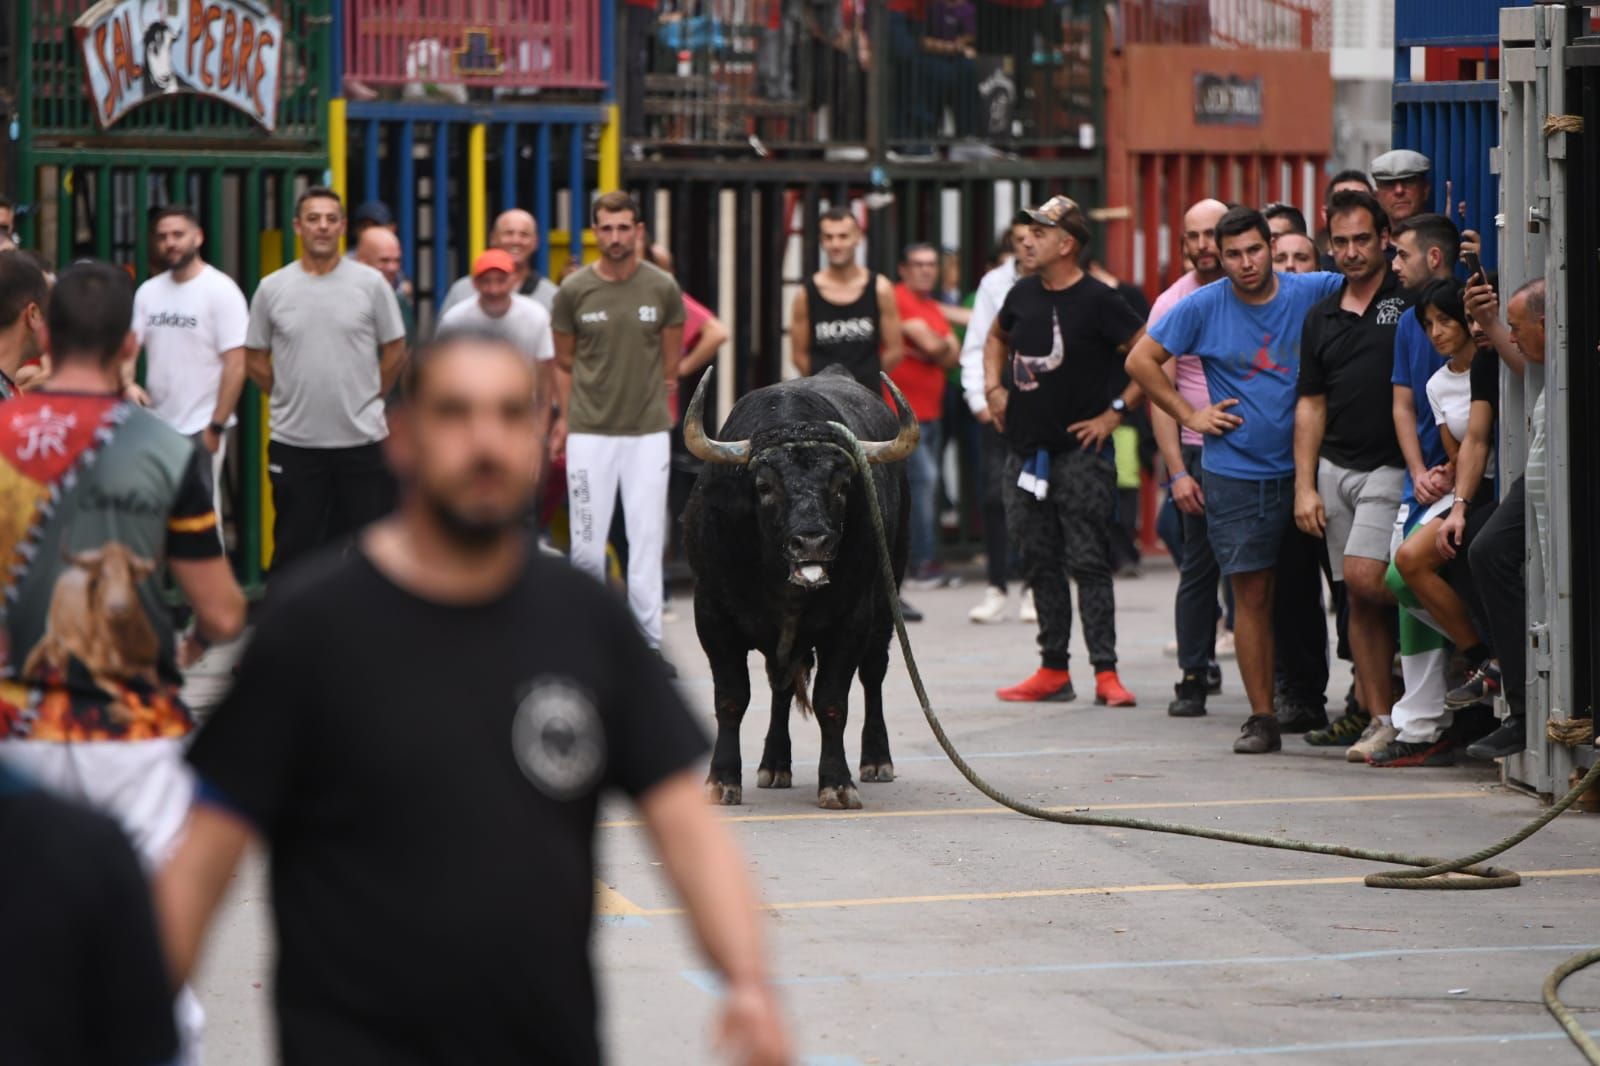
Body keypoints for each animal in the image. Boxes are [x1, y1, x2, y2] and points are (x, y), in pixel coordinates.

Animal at [681, 364, 921, 806]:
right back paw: (775, 764)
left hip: (886, 599)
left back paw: (876, 759)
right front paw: (722, 780)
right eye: (764, 486)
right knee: (780, 686)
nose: (812, 542)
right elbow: (731, 698)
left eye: (842, 486)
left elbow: (832, 702)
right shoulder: (711, 615)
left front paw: (837, 782)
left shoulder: (851, 621)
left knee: (873, 672)